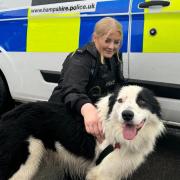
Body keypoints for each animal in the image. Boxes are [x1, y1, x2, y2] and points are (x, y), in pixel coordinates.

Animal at [0, 85, 165, 179]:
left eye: (142, 101)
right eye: (120, 100)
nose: (127, 115)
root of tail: (8, 114)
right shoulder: (100, 173)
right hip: (22, 166)